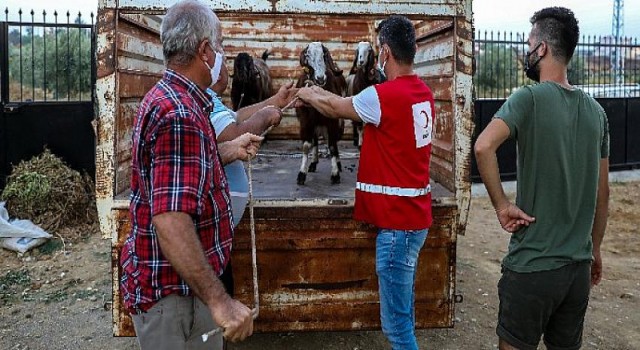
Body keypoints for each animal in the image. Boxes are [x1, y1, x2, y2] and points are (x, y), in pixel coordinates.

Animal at [296, 41, 348, 186]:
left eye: (324, 55)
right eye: (308, 55)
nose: (320, 78)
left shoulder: (332, 121)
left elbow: (332, 145)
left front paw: (335, 174)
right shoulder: (306, 121)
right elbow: (306, 146)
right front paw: (302, 174)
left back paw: (338, 165)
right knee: (315, 141)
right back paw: (313, 163)